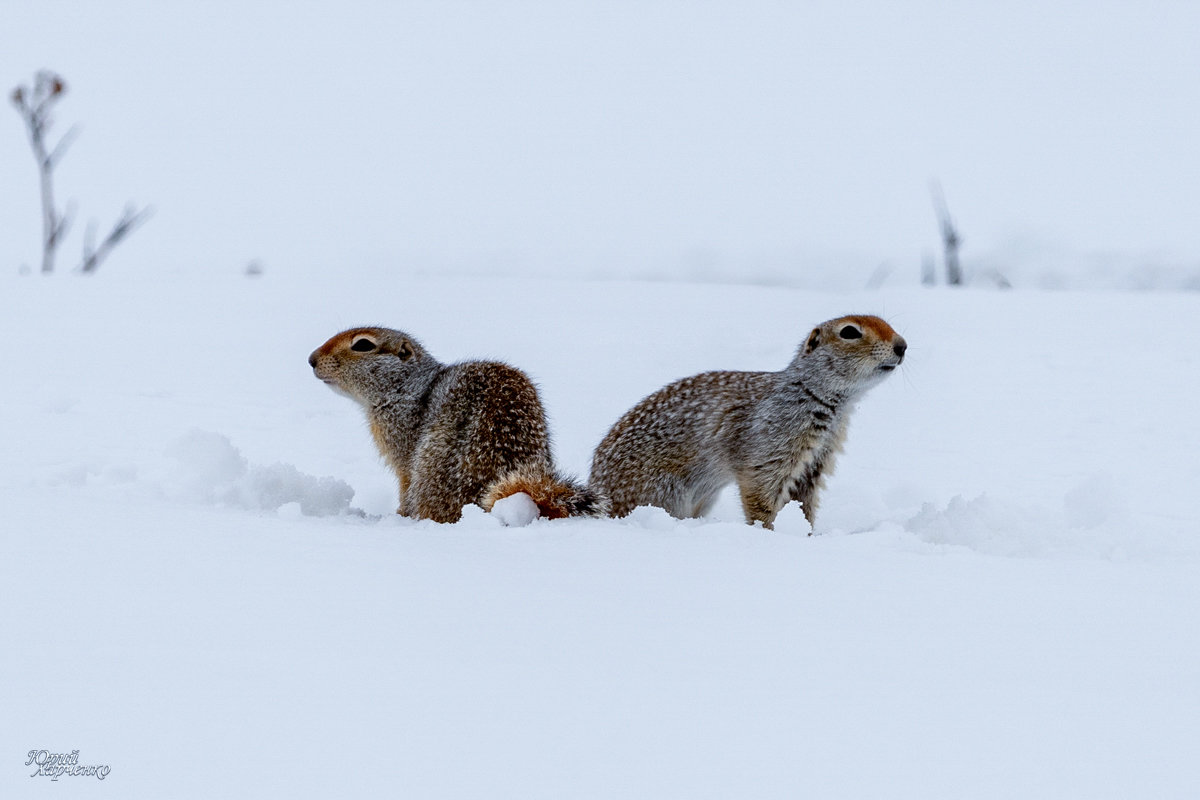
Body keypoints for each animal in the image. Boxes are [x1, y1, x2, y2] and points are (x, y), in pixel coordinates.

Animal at [309, 326, 604, 525]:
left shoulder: (400, 442)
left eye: (362, 344)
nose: (311, 359)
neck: (407, 386)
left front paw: (400, 515)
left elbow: (404, 482)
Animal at [585, 314, 902, 532]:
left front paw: (808, 534)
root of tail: (598, 487)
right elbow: (759, 489)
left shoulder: (816, 460)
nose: (902, 345)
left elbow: (803, 502)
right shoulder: (773, 440)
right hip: (663, 492)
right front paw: (767, 532)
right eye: (849, 332)